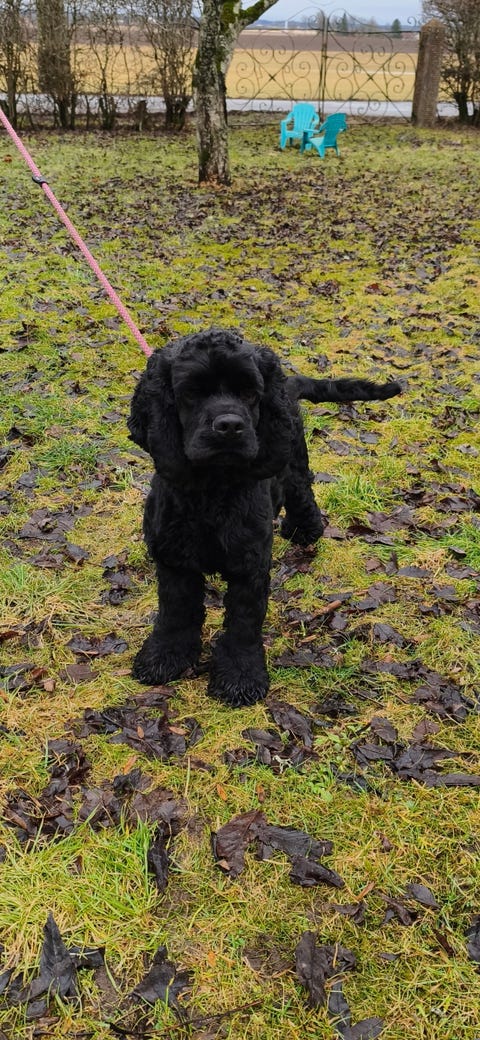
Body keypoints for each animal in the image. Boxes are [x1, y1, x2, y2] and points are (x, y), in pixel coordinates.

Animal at [128, 328, 401, 707]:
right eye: (191, 393)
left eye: (248, 393)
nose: (229, 426)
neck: (213, 488)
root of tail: (288, 384)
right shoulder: (174, 559)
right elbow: (176, 611)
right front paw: (164, 656)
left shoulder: (250, 565)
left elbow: (244, 623)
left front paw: (240, 678)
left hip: (293, 459)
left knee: (302, 493)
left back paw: (304, 530)